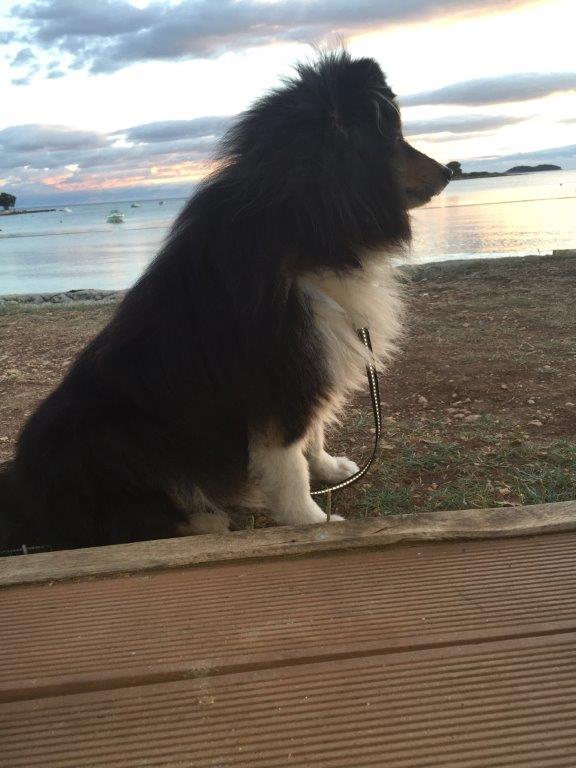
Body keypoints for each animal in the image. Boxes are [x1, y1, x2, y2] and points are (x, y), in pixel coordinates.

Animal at [0, 52, 450, 550]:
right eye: (392, 136)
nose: (452, 170)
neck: (301, 224)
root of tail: (23, 495)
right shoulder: (278, 374)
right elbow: (289, 461)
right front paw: (311, 521)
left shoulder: (313, 359)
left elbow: (312, 435)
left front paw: (329, 469)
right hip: (114, 439)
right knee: (118, 522)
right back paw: (204, 521)